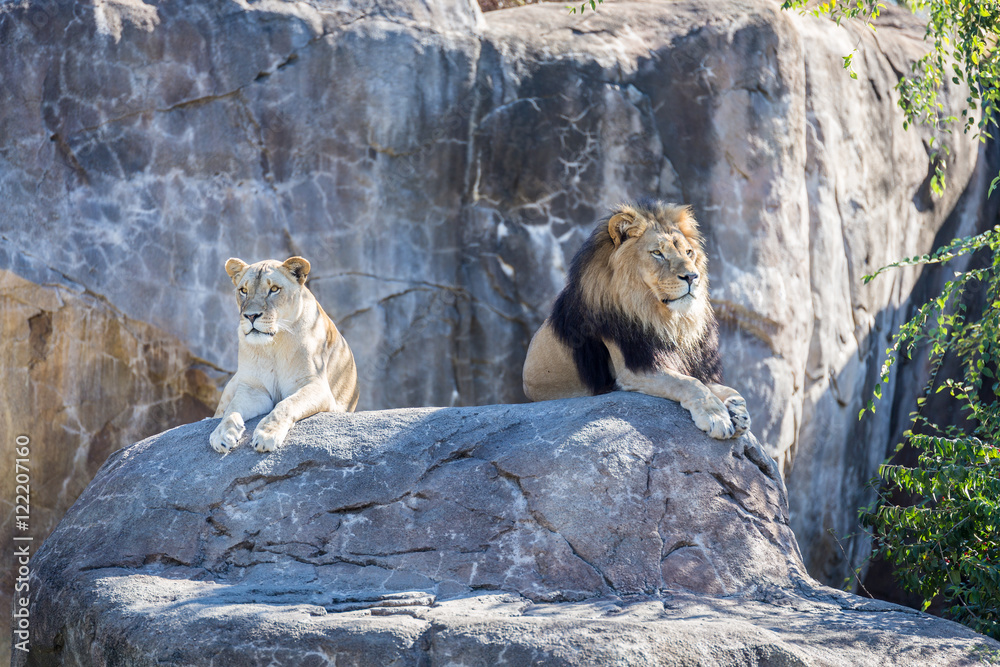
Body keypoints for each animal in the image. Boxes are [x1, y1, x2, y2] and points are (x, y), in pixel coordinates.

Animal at [209, 256, 359, 454]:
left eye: (274, 289)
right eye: (244, 290)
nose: (251, 316)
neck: (272, 346)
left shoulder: (316, 386)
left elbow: (286, 404)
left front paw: (267, 435)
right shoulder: (253, 389)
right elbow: (231, 409)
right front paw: (221, 434)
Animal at [522, 200, 750, 440]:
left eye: (689, 252)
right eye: (657, 253)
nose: (692, 277)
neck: (665, 319)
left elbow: (720, 386)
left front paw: (738, 410)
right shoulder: (633, 368)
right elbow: (689, 383)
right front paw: (716, 417)